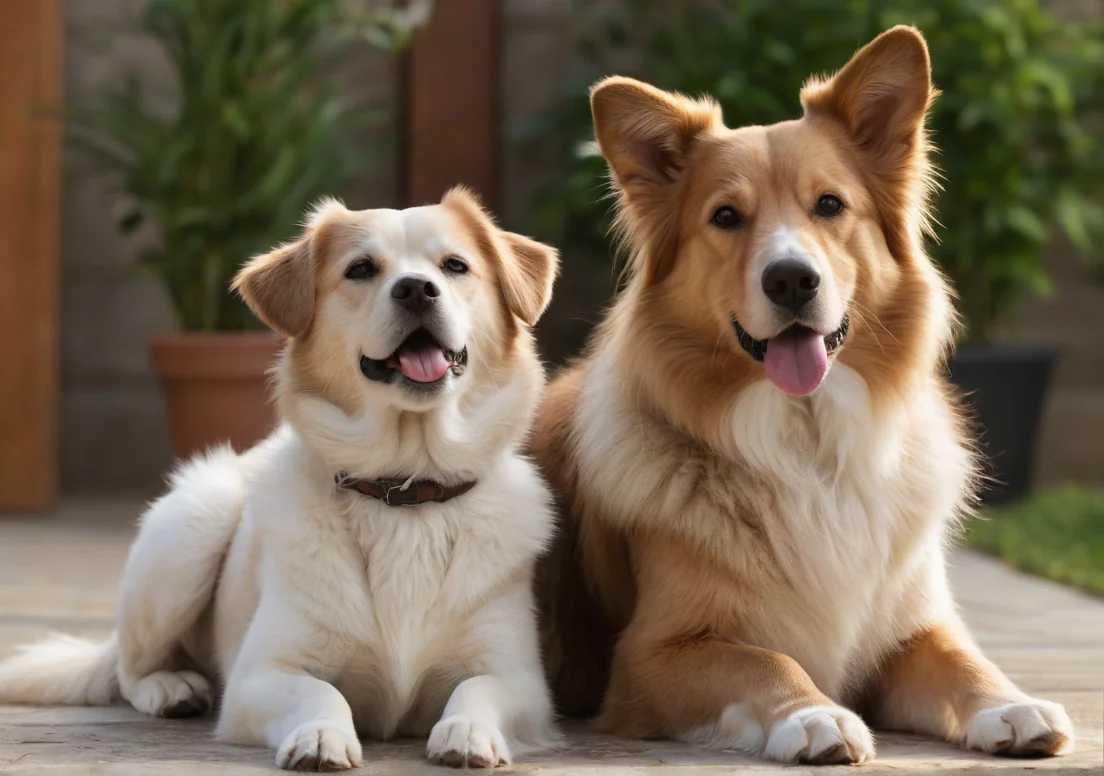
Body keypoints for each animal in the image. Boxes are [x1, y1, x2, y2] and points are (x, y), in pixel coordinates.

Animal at [0, 187, 565, 772]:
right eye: (361, 269)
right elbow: (322, 692)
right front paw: (320, 736)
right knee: (130, 669)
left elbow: (477, 688)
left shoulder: (524, 682)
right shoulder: (258, 677)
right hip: (191, 526)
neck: (406, 488)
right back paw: (170, 687)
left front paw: (468, 730)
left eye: (455, 266)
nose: (416, 289)